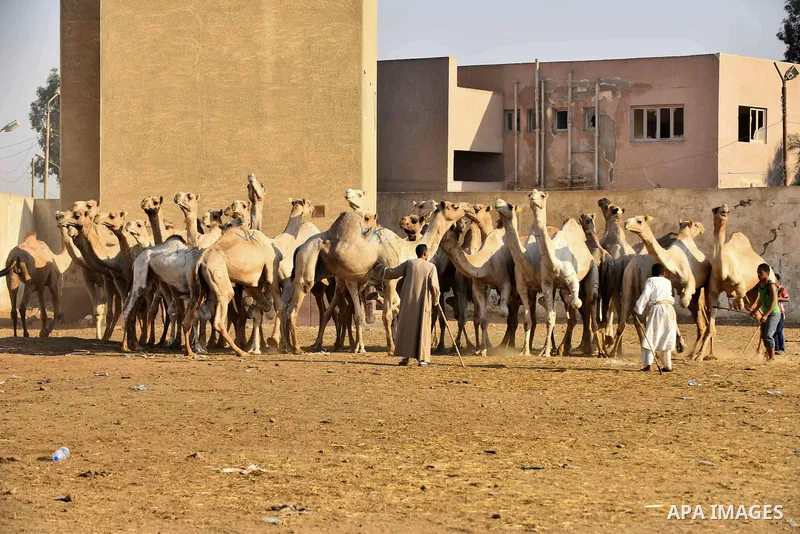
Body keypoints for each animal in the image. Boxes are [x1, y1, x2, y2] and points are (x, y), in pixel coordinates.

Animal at [693, 204, 775, 359]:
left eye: (727, 210)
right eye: (716, 208)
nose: (724, 210)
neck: (723, 268)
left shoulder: (740, 284)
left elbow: (739, 292)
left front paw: (737, 303)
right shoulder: (713, 292)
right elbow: (710, 327)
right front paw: (699, 355)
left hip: (769, 282)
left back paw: (763, 353)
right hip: (753, 297)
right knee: (758, 315)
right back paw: (758, 352)